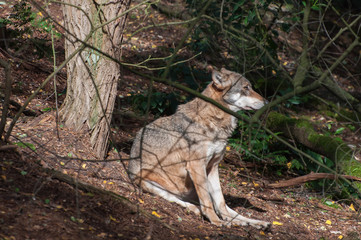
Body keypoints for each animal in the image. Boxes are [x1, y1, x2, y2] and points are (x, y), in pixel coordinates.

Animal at [128, 67, 268, 229]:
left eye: (250, 87)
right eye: (246, 88)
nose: (267, 101)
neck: (215, 121)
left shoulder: (213, 166)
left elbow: (220, 202)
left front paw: (225, 220)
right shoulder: (196, 165)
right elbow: (207, 202)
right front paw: (215, 221)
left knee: (226, 208)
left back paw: (255, 222)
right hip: (151, 181)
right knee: (177, 199)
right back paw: (197, 210)